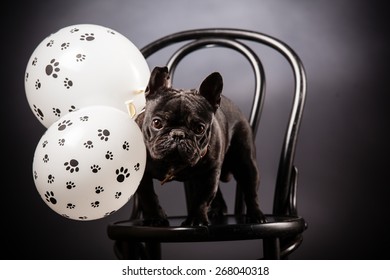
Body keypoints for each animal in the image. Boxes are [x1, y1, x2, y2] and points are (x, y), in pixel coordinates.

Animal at [134, 66, 266, 225]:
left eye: (199, 128)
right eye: (157, 123)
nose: (178, 134)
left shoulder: (208, 174)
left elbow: (202, 198)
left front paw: (196, 219)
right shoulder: (142, 176)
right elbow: (148, 197)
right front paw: (155, 218)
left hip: (245, 163)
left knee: (250, 191)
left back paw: (256, 214)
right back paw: (217, 211)